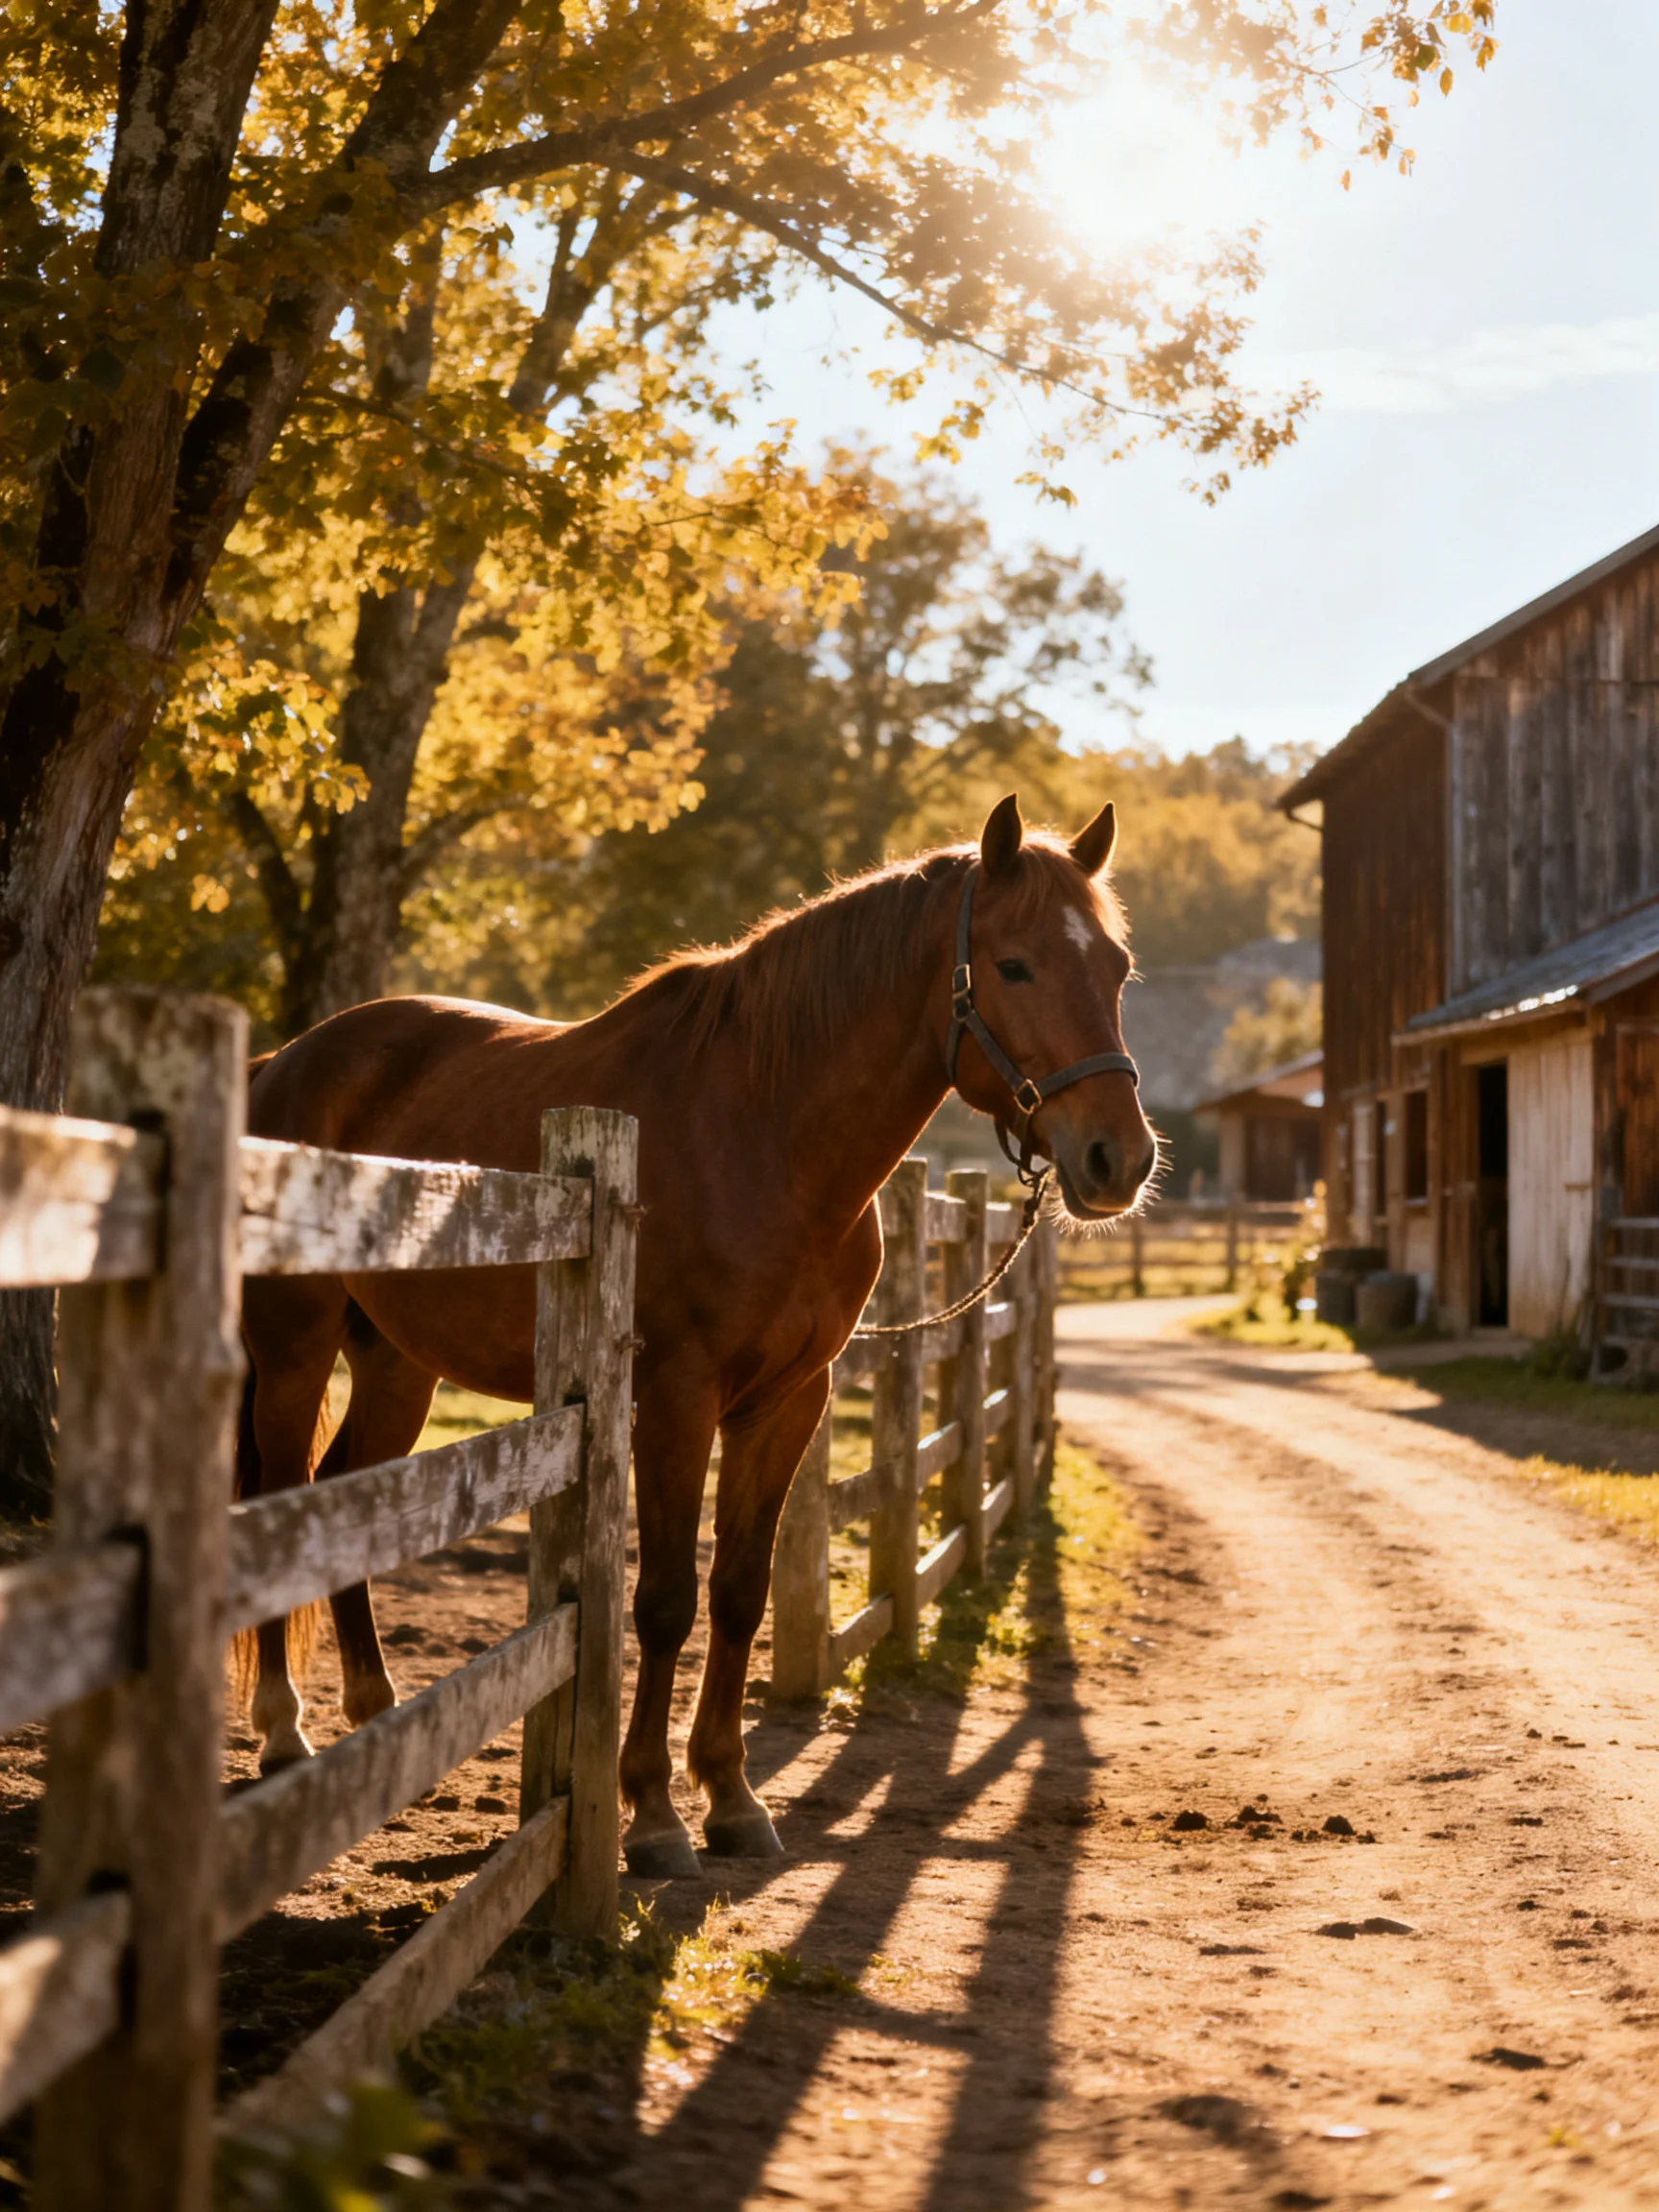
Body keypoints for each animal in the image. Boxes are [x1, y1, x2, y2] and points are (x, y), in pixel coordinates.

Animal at [240, 792, 1156, 1874]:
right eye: (1014, 966)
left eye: (1117, 968)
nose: (1119, 1159)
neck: (765, 1133)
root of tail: (281, 1064)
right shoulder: (677, 1400)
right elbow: (668, 1597)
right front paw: (652, 1813)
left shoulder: (787, 1401)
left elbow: (739, 1590)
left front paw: (731, 1796)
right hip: (293, 1351)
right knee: (281, 1499)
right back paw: (283, 1731)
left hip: (396, 1365)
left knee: (351, 1494)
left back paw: (377, 1717)